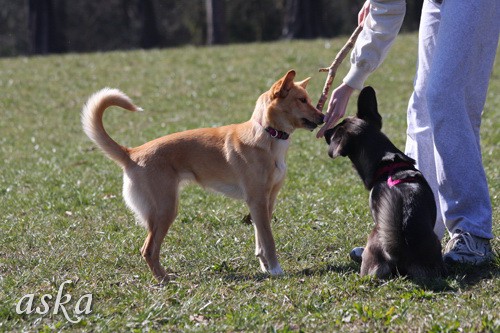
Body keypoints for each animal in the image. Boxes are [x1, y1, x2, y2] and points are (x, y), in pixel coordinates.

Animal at [82, 70, 324, 280]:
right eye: (302, 100)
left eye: (309, 99)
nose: (323, 117)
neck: (267, 134)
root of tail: (132, 153)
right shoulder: (256, 200)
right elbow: (269, 240)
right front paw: (276, 269)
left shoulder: (266, 201)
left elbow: (260, 240)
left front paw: (265, 268)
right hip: (165, 209)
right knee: (148, 250)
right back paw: (164, 280)